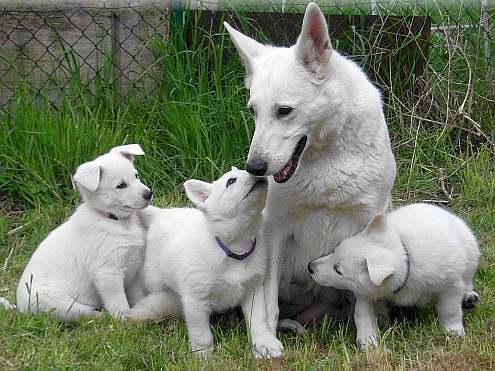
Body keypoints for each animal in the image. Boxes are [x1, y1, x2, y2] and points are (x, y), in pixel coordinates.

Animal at [8, 144, 151, 322]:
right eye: (121, 185)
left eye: (136, 175)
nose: (149, 194)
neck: (113, 219)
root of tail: (20, 309)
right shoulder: (107, 272)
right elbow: (118, 302)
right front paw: (125, 319)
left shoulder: (134, 267)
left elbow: (137, 294)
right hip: (58, 303)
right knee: (86, 313)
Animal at [126, 169, 284, 360]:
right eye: (231, 181)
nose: (256, 171)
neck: (233, 248)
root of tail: (161, 214)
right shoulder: (196, 299)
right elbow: (201, 332)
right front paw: (204, 354)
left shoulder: (253, 290)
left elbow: (259, 320)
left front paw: (265, 344)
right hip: (154, 281)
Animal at [225, 2, 396, 334]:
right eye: (253, 111)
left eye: (284, 111)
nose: (254, 167)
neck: (327, 157)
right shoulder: (275, 228)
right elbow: (269, 304)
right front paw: (269, 337)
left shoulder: (365, 224)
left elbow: (363, 303)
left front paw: (368, 338)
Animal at [310, 203, 480, 348]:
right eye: (334, 251)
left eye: (338, 270)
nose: (309, 266)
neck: (405, 256)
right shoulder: (365, 292)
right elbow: (362, 314)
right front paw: (368, 340)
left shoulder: (451, 285)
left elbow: (450, 309)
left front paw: (454, 332)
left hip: (471, 255)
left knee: (467, 281)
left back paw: (468, 296)